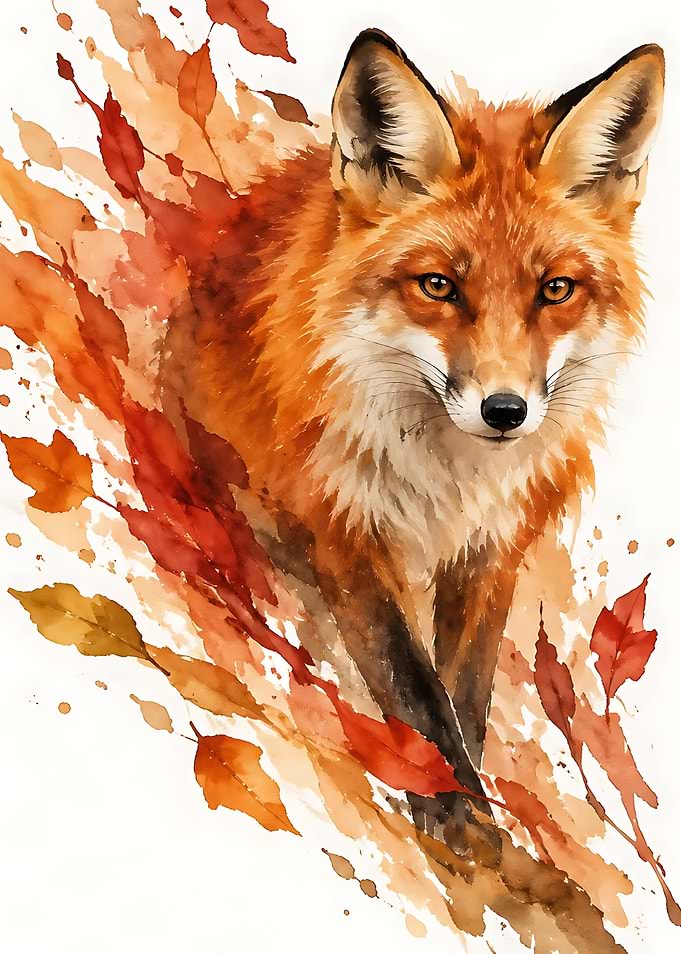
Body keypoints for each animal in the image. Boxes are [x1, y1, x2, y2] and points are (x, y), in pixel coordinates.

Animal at [161, 30, 665, 838]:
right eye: (438, 286)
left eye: (554, 289)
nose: (504, 411)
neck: (450, 479)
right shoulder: (344, 524)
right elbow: (415, 686)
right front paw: (452, 806)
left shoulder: (494, 551)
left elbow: (465, 692)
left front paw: (472, 807)